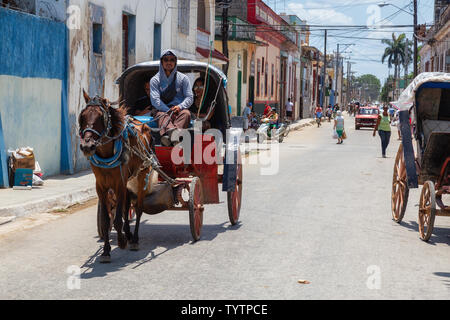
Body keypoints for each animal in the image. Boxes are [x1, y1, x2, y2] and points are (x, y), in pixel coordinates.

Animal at [79, 89, 158, 262]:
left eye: (101, 117)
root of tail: (143, 124)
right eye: (82, 116)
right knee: (126, 208)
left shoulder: (119, 183)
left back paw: (133, 239)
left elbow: (116, 220)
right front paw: (106, 251)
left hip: (141, 175)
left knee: (138, 208)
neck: (106, 153)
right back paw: (128, 234)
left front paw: (121, 241)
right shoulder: (101, 186)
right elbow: (106, 219)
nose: (87, 146)